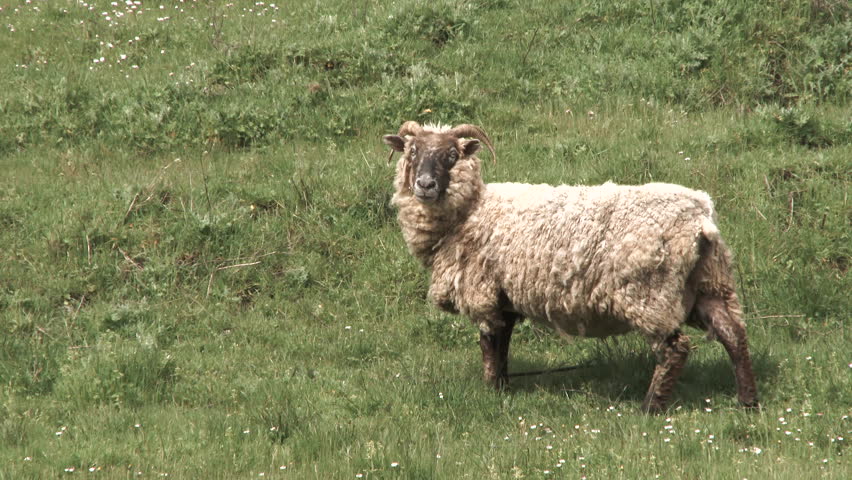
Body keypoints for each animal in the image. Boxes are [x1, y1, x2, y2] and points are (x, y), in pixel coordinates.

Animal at [382, 121, 759, 413]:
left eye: (451, 155)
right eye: (412, 152)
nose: (424, 185)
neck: (471, 211)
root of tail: (700, 219)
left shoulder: (483, 292)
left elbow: (489, 346)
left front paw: (490, 392)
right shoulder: (505, 296)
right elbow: (503, 346)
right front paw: (503, 390)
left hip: (650, 292)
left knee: (675, 350)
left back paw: (649, 408)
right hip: (707, 282)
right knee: (733, 334)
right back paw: (748, 402)